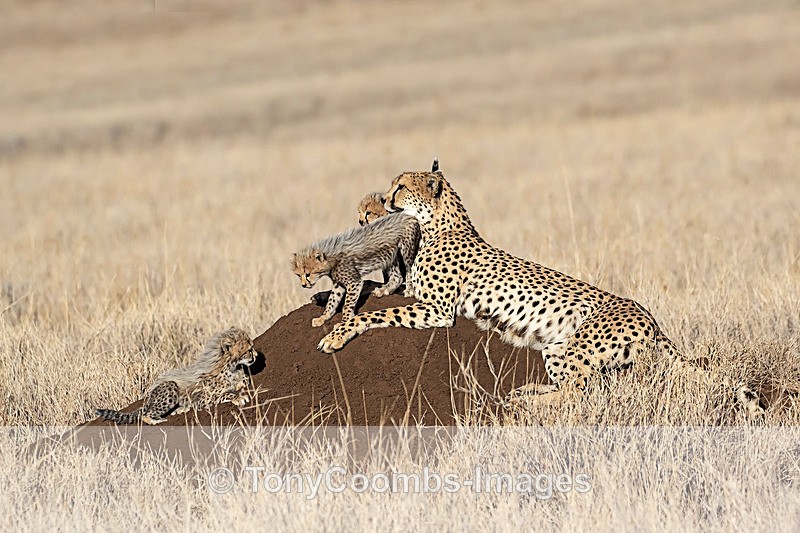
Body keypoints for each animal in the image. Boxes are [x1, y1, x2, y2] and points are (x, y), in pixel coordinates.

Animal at [95, 327, 257, 425]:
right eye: (249, 350)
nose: (255, 355)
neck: (230, 366)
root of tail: (148, 397)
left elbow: (241, 381)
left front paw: (240, 386)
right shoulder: (201, 400)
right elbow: (222, 395)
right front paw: (238, 397)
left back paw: (180, 410)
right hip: (170, 387)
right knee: (145, 414)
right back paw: (157, 420)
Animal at [291, 211, 420, 327]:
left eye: (308, 274)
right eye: (298, 275)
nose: (303, 285)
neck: (330, 257)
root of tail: (408, 215)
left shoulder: (354, 282)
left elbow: (347, 304)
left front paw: (345, 321)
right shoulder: (339, 283)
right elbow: (332, 300)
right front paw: (324, 317)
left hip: (406, 249)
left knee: (409, 269)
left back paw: (409, 290)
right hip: (389, 255)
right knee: (397, 277)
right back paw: (383, 290)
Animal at [317, 168, 765, 415]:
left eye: (400, 186)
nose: (382, 199)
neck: (438, 224)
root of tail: (648, 314)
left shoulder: (438, 311)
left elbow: (376, 313)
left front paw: (336, 335)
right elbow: (375, 290)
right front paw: (327, 305)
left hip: (578, 346)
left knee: (581, 395)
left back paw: (524, 400)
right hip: (557, 346)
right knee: (573, 388)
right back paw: (526, 391)